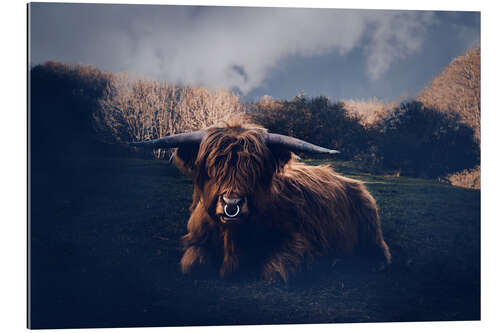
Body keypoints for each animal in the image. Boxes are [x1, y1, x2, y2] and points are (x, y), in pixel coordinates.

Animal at [133, 122, 390, 280]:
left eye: (254, 168)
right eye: (213, 166)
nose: (232, 204)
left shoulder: (301, 241)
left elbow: (275, 272)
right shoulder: (195, 237)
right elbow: (192, 264)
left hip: (370, 223)